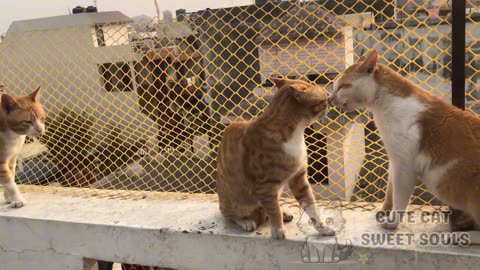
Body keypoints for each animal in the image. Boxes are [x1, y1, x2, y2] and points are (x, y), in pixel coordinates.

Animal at [216, 77, 336, 239]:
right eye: (324, 98)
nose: (330, 101)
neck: (295, 135)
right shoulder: (266, 187)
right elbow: (274, 211)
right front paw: (278, 230)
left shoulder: (299, 178)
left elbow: (312, 208)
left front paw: (322, 228)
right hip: (236, 201)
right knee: (230, 215)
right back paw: (246, 221)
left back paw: (283, 212)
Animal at [328, 49, 480, 244]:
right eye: (334, 87)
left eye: (343, 86)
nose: (330, 98)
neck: (383, 107)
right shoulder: (394, 160)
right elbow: (390, 191)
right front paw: (383, 210)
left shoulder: (404, 168)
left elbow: (399, 199)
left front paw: (392, 222)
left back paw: (457, 236)